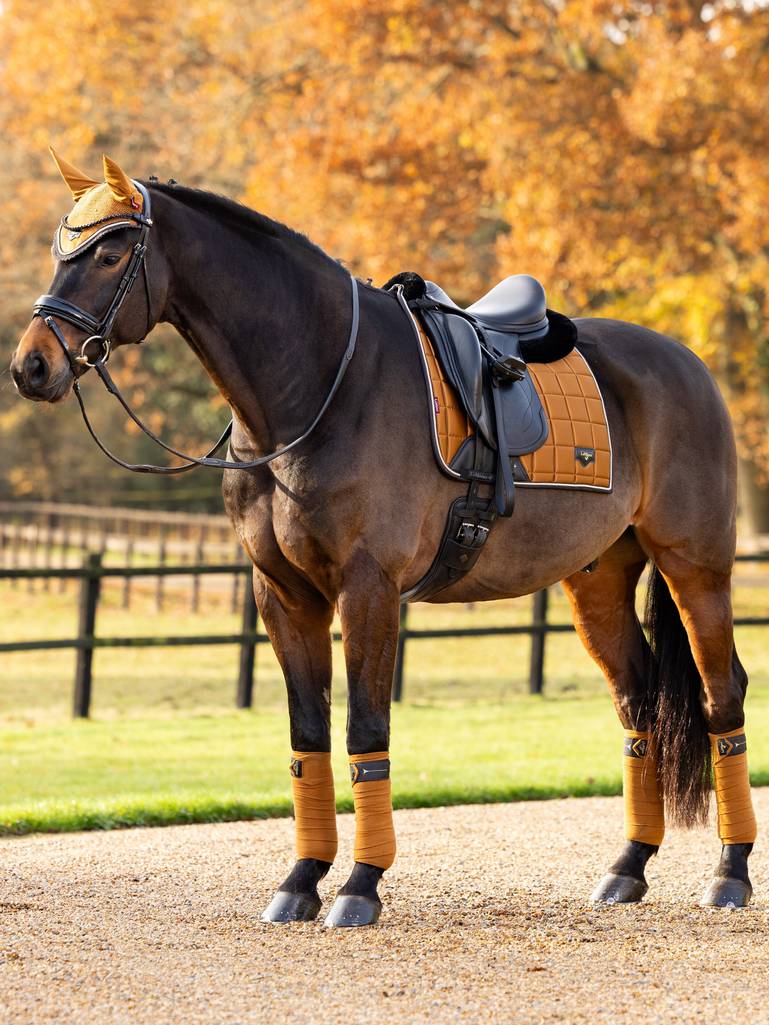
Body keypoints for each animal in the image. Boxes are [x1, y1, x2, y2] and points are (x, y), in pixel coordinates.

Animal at [10, 152, 757, 927]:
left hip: (695, 567)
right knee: (638, 702)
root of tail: (686, 364)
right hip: (597, 579)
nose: (31, 365)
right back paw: (627, 866)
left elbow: (365, 730)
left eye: (109, 252)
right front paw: (301, 879)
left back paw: (729, 873)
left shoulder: (367, 588)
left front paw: (360, 884)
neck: (318, 390)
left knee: (720, 695)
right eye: (61, 251)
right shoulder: (284, 594)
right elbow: (307, 735)